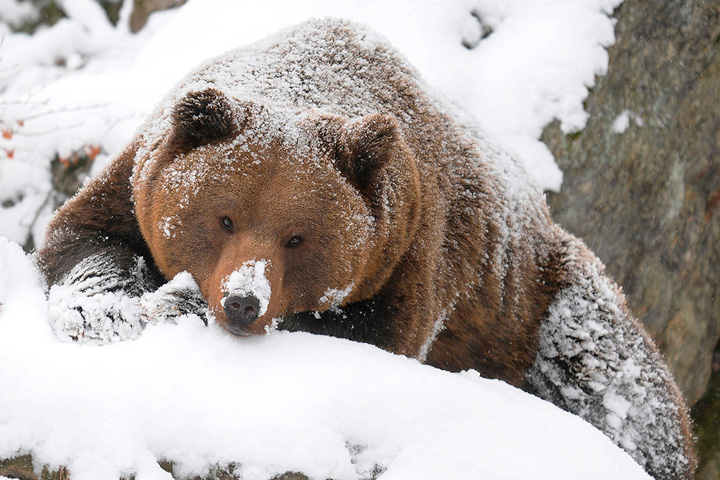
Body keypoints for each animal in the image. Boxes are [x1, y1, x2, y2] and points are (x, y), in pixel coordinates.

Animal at [35, 16, 696, 478]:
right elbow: (85, 239)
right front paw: (103, 309)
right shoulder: (135, 179)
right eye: (224, 217)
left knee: (618, 384)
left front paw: (175, 303)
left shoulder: (410, 251)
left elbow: (365, 332)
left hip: (538, 304)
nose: (244, 302)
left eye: (297, 237)